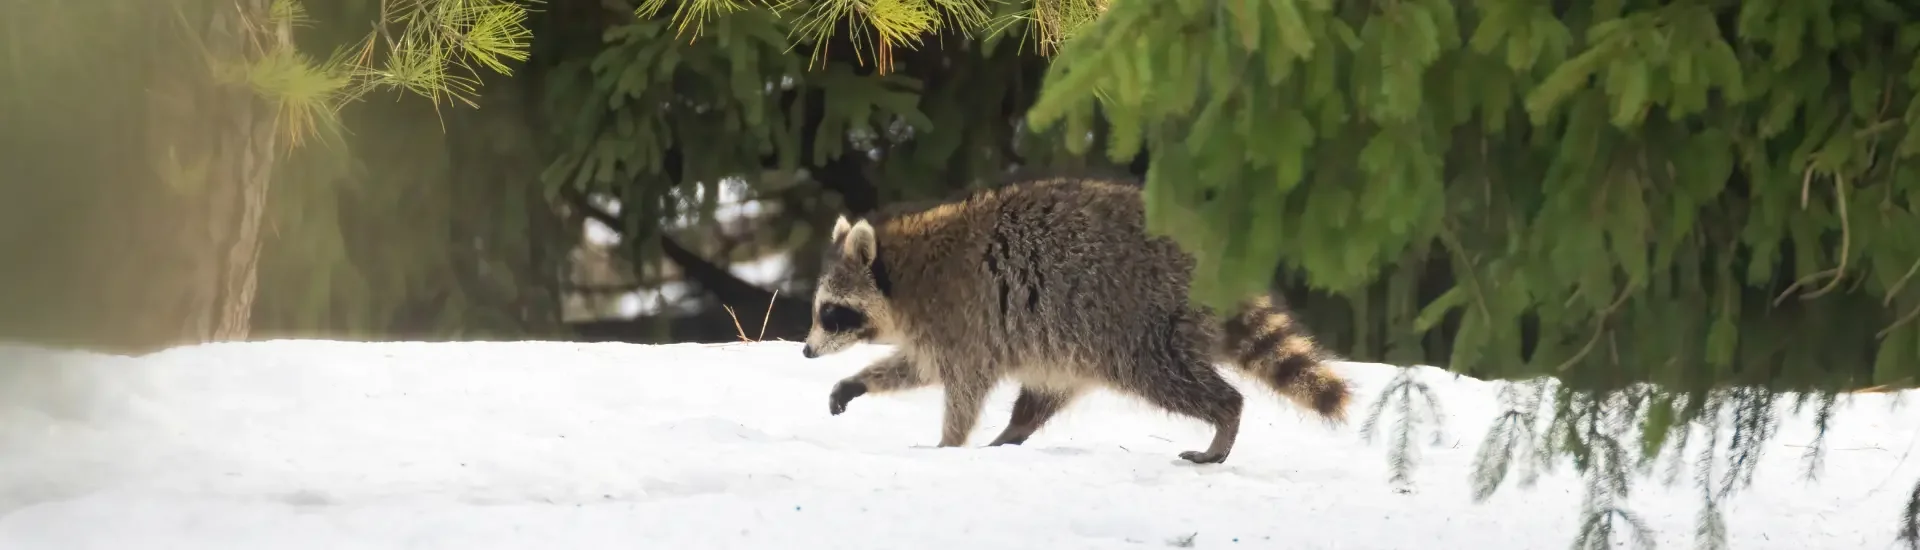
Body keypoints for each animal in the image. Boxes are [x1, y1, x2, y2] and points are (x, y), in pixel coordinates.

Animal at [800, 176, 1351, 464]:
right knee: (1045, 391)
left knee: (1169, 378)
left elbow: (963, 387)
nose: (806, 350)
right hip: (1069, 342)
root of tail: (1204, 259)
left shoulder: (963, 317)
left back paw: (1225, 416)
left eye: (831, 313)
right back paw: (1011, 436)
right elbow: (920, 367)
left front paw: (948, 445)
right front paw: (859, 381)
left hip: (1135, 323)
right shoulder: (946, 328)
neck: (904, 269)